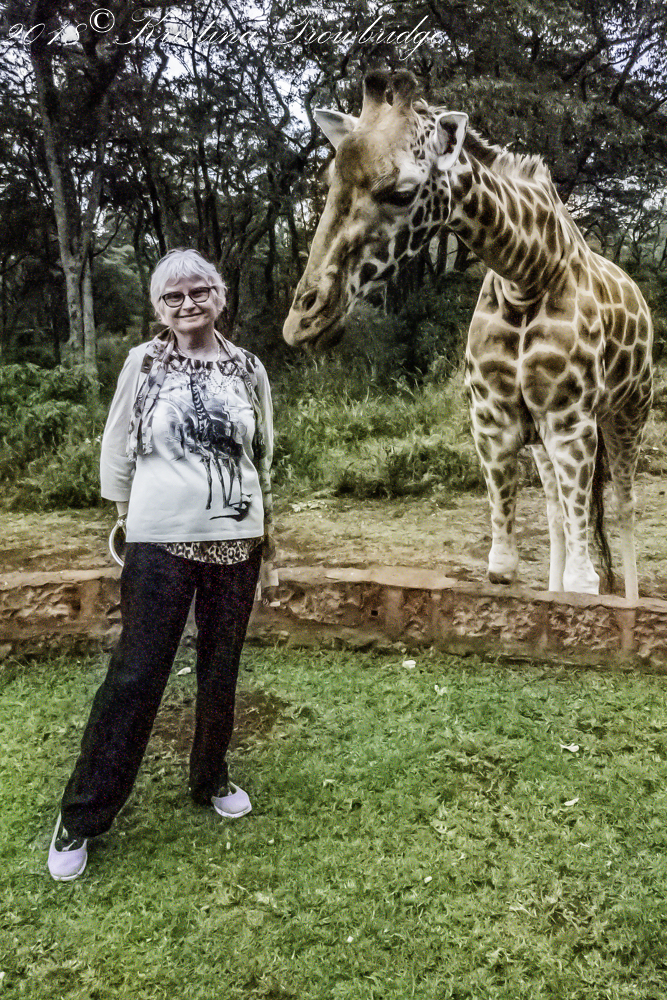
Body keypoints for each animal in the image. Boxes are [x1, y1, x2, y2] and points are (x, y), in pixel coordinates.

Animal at [283, 70, 653, 602]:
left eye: (401, 192)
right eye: (329, 182)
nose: (304, 321)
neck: (528, 272)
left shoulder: (571, 419)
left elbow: (584, 583)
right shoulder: (494, 417)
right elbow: (505, 566)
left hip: (629, 411)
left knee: (624, 503)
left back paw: (631, 597)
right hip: (544, 439)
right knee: (557, 512)